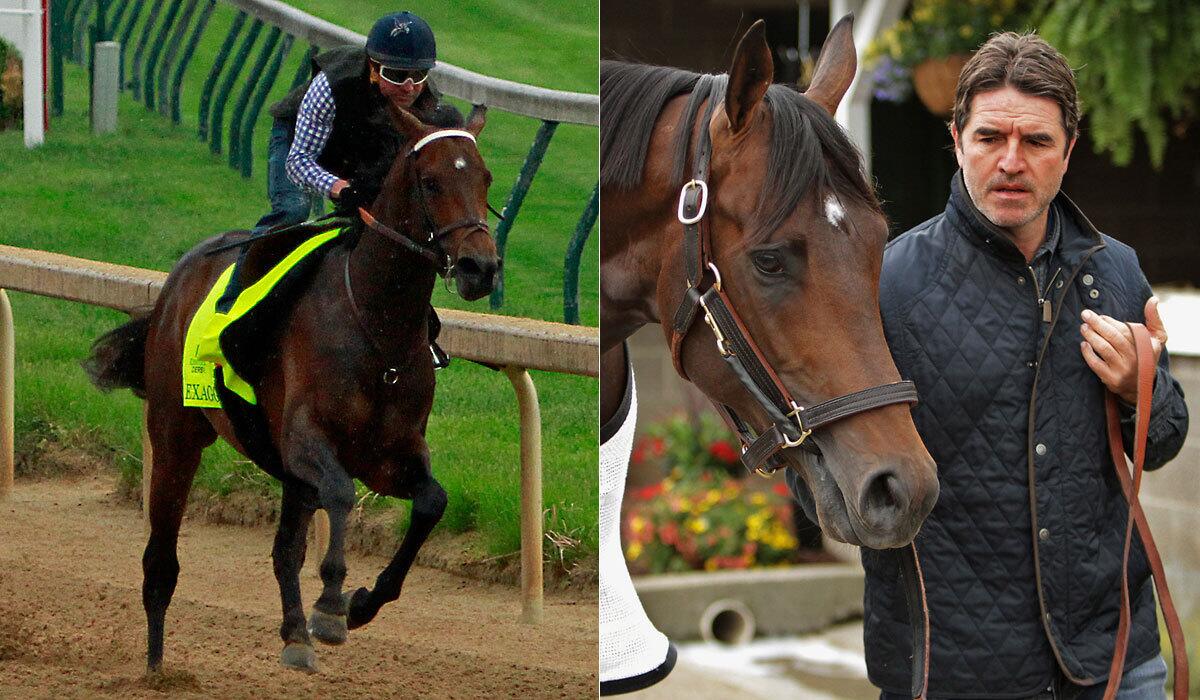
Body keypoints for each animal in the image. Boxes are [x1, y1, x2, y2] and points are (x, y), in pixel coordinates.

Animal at [84, 103, 496, 672]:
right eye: (431, 182)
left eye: (485, 178)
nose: (482, 267)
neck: (376, 324)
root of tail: (176, 281)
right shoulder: (306, 441)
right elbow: (341, 494)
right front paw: (331, 607)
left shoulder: (389, 454)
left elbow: (432, 501)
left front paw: (361, 603)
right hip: (174, 434)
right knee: (161, 561)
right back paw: (155, 666)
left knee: (284, 551)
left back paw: (295, 635)